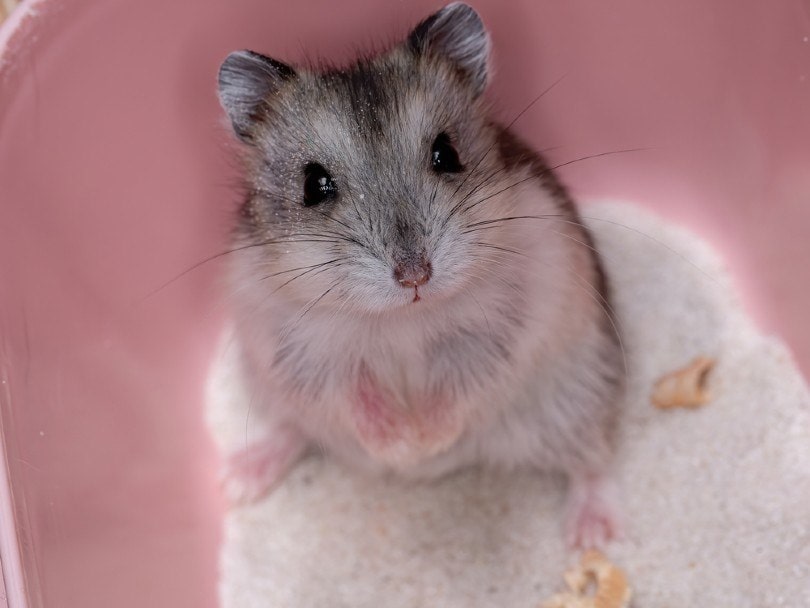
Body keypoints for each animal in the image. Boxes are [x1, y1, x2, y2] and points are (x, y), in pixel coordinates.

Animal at [216, 2, 624, 548]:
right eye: (313, 184)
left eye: (446, 153)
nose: (415, 276)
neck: (403, 321)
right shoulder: (298, 351)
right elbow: (352, 393)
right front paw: (400, 449)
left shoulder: (503, 330)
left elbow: (463, 379)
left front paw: (423, 443)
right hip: (272, 392)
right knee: (293, 429)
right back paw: (236, 482)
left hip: (578, 397)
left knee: (592, 461)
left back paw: (591, 536)